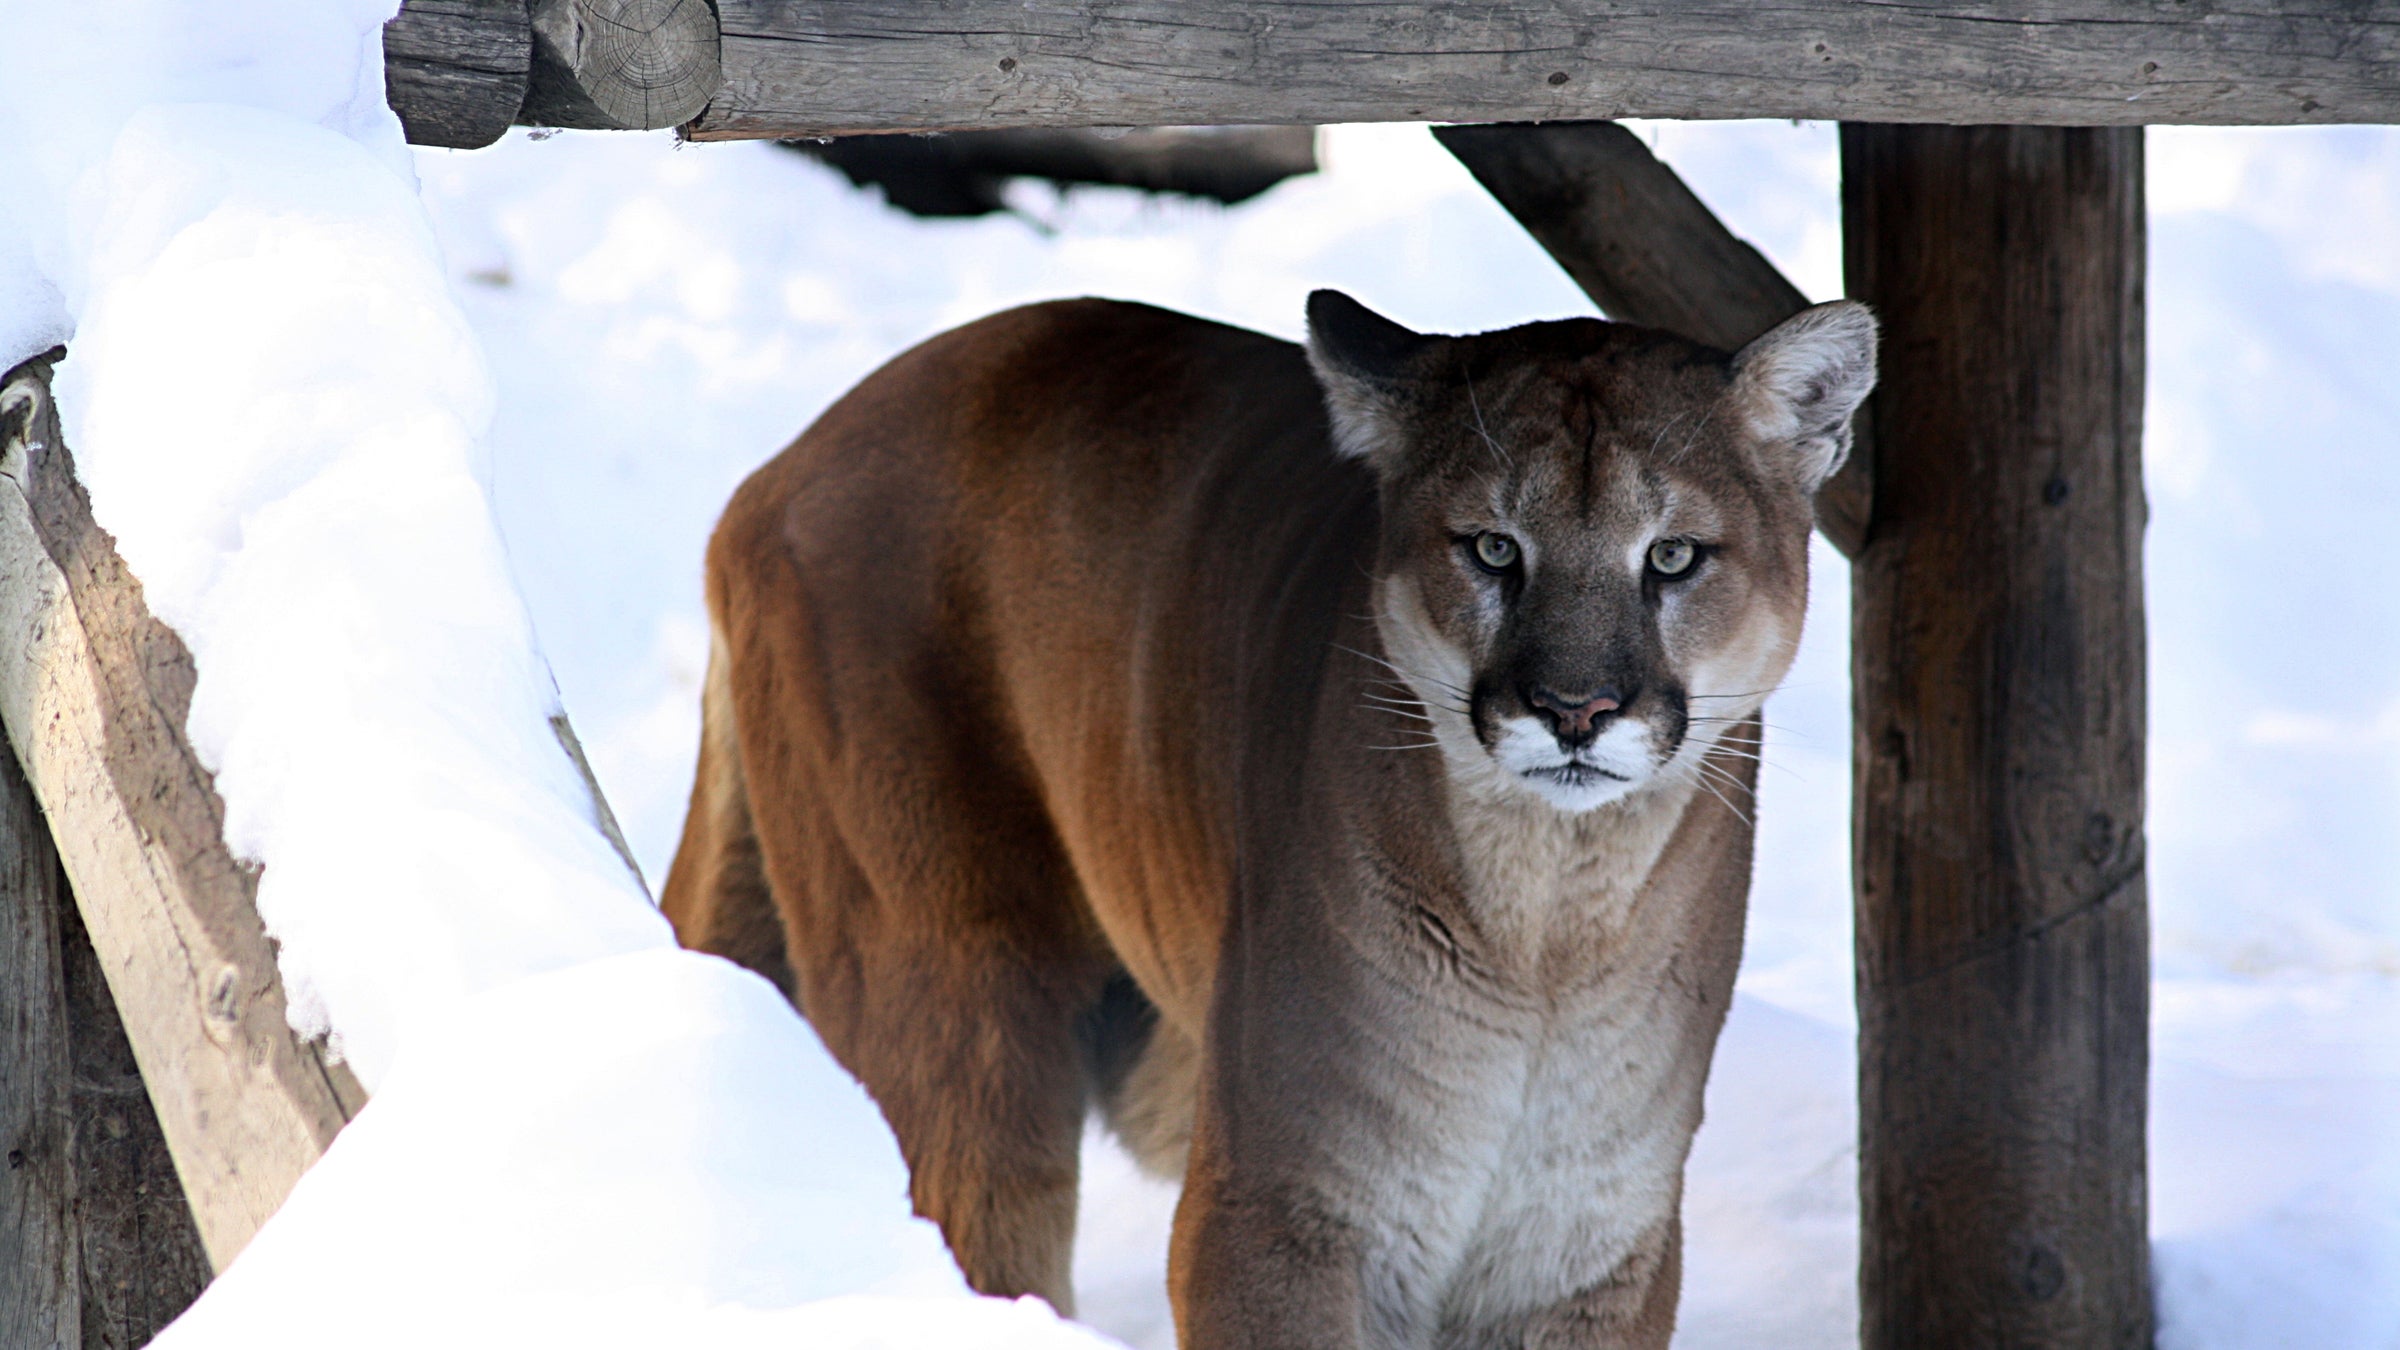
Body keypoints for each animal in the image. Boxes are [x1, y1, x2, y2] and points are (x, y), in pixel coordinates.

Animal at [657, 289, 1872, 1335]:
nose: (1575, 709)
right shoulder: (1280, 1219)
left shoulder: (1591, 1250)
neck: (1551, 932)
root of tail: (785, 463)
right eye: (1493, 548)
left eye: (1671, 556)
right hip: (958, 1001)